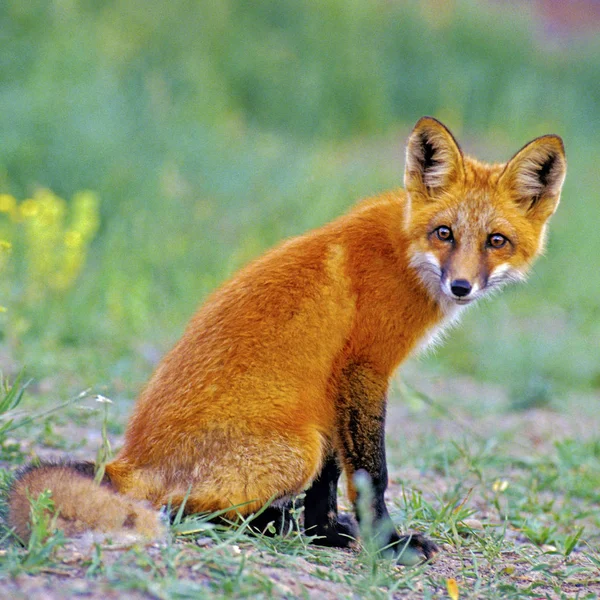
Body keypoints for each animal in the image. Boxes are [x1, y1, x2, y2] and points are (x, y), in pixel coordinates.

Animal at [8, 117, 568, 564]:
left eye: (496, 241)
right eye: (445, 233)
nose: (461, 286)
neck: (403, 253)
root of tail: (129, 461)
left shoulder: (332, 387)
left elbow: (330, 484)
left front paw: (327, 533)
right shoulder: (363, 370)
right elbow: (372, 476)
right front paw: (388, 545)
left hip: (307, 432)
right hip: (296, 448)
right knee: (180, 509)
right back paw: (266, 524)